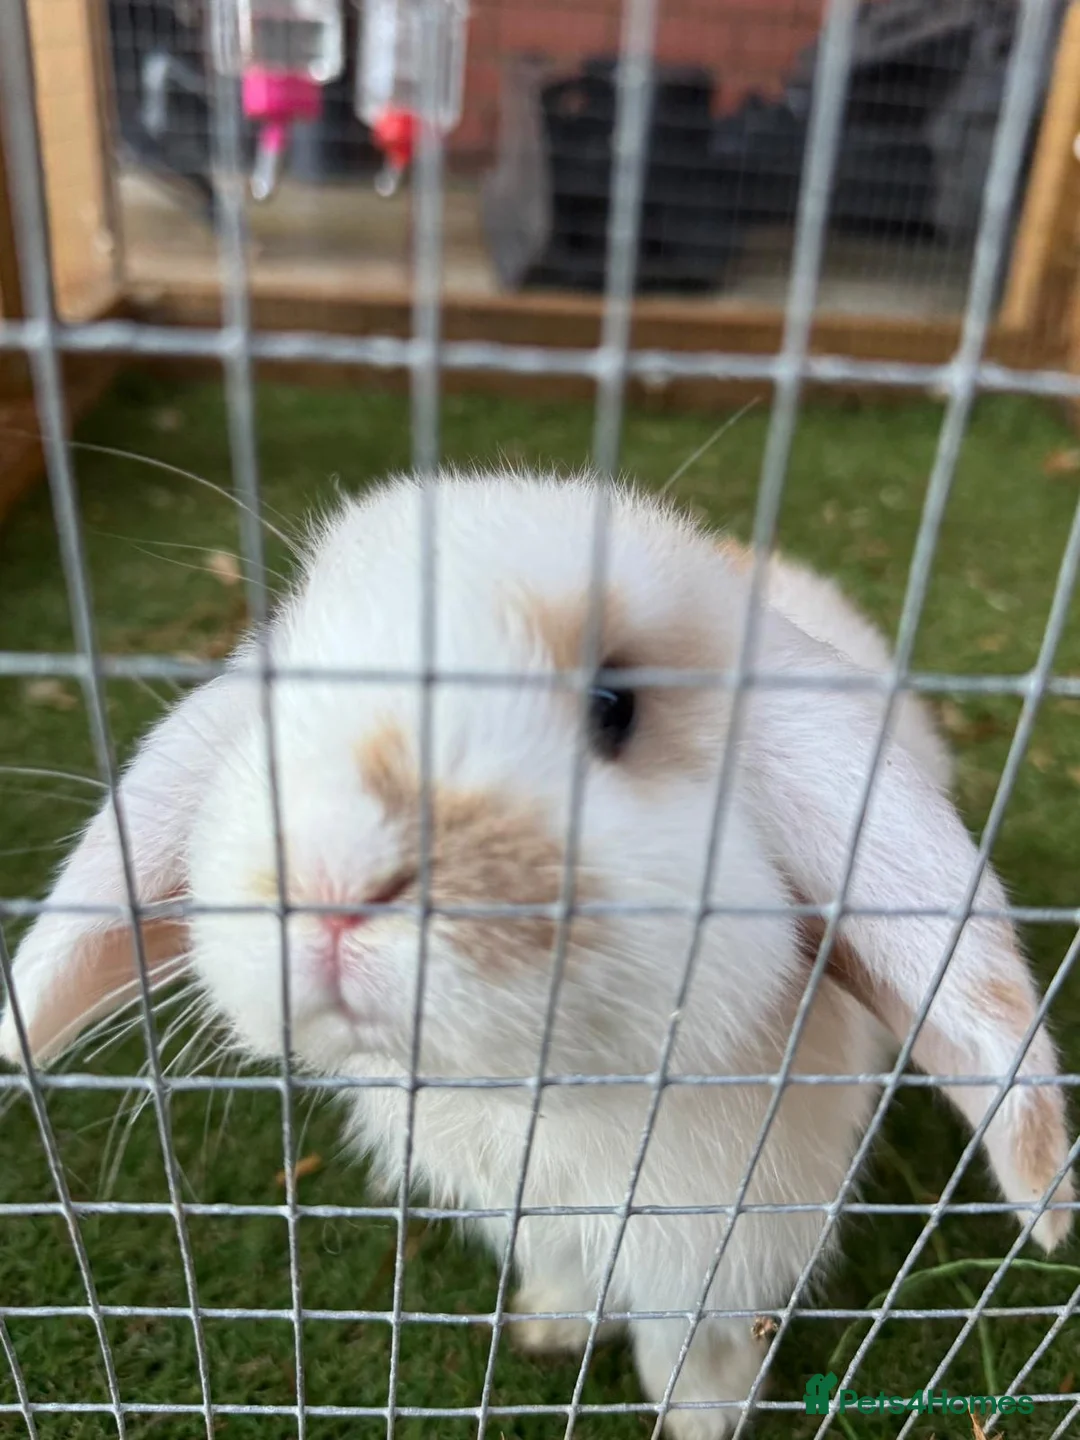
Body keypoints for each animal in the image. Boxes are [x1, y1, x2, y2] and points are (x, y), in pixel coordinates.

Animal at [2, 472, 1073, 1440]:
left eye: (613, 705)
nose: (331, 877)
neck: (544, 1108)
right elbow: (566, 1274)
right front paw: (551, 1329)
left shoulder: (721, 1248)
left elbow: (693, 1341)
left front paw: (702, 1419)